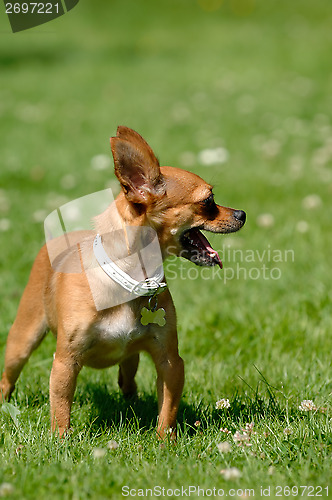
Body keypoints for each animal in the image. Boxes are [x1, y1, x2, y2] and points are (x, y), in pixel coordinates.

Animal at [0, 126, 244, 438]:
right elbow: (61, 407)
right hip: (22, 341)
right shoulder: (66, 362)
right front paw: (61, 441)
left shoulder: (170, 362)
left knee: (128, 377)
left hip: (132, 357)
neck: (128, 279)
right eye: (208, 201)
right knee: (8, 376)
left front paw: (165, 441)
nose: (242, 214)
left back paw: (132, 400)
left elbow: (168, 409)